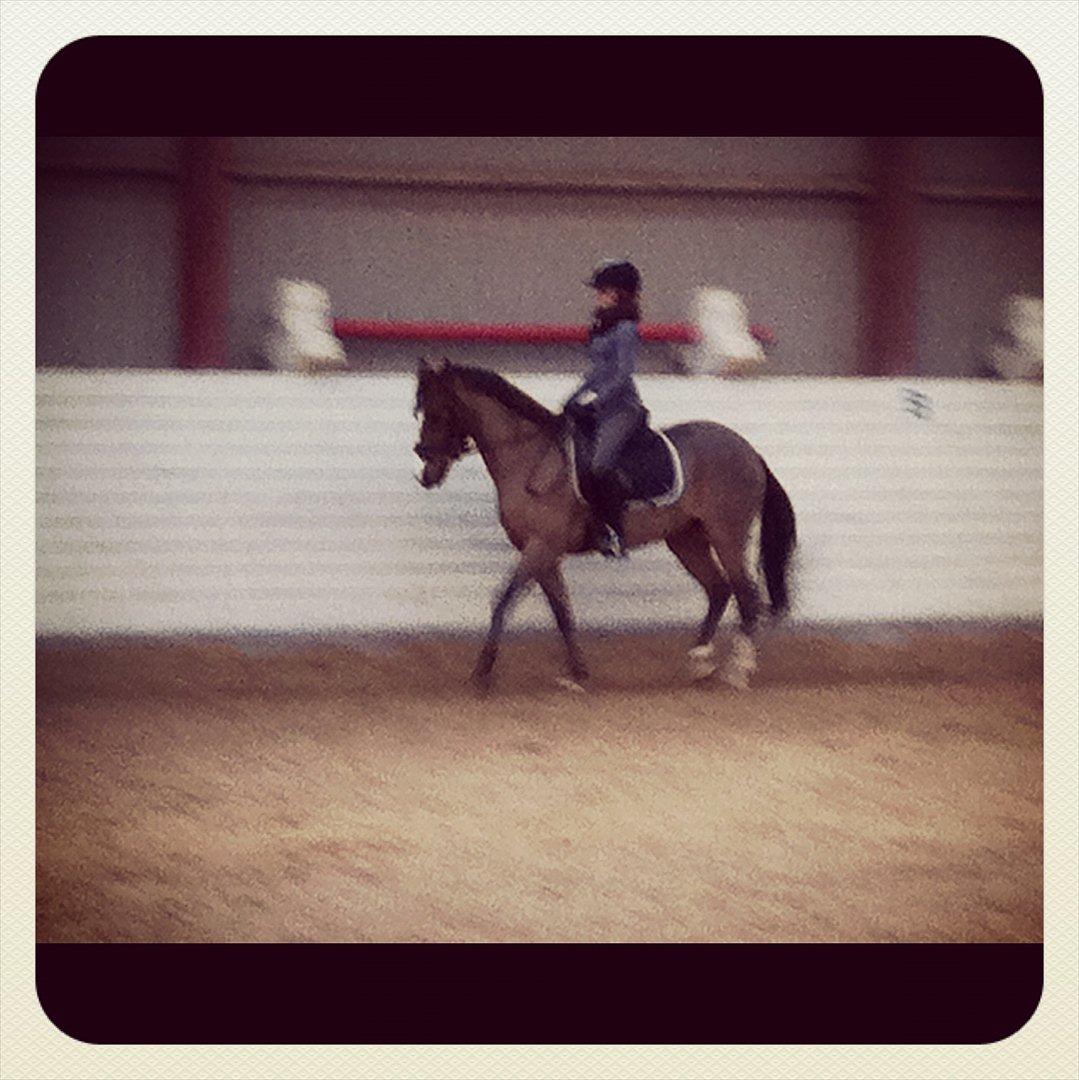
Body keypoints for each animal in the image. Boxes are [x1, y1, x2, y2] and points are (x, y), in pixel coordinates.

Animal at [410, 356, 794, 691]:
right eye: (421, 411)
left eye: (439, 411)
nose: (425, 463)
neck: (529, 457)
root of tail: (748, 450)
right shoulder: (544, 554)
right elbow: (562, 612)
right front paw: (577, 674)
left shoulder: (541, 546)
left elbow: (504, 600)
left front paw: (482, 673)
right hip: (686, 538)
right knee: (718, 589)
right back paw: (698, 663)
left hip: (727, 534)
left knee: (747, 596)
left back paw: (735, 672)